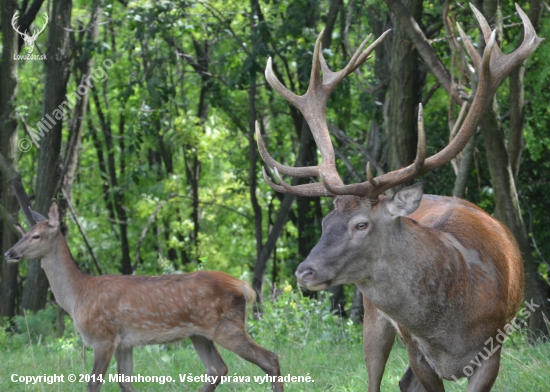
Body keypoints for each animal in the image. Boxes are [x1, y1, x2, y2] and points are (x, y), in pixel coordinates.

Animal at [2, 201, 282, 392]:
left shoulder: (103, 336)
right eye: (22, 233)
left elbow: (94, 383)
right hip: (200, 334)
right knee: (217, 368)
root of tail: (244, 287)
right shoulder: (124, 342)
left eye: (35, 236)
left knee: (269, 358)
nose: (9, 253)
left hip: (226, 326)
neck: (77, 296)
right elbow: (126, 382)